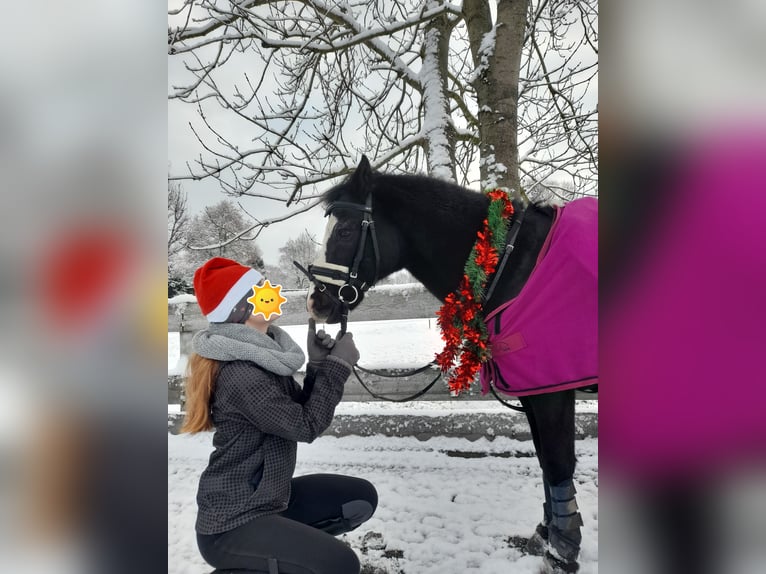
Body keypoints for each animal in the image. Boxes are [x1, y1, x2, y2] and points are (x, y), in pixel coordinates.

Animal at [308, 158, 592, 574]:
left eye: (344, 230)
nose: (315, 302)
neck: (513, 264)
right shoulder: (533, 392)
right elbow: (545, 461)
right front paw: (547, 533)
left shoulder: (551, 391)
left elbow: (557, 463)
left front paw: (563, 551)